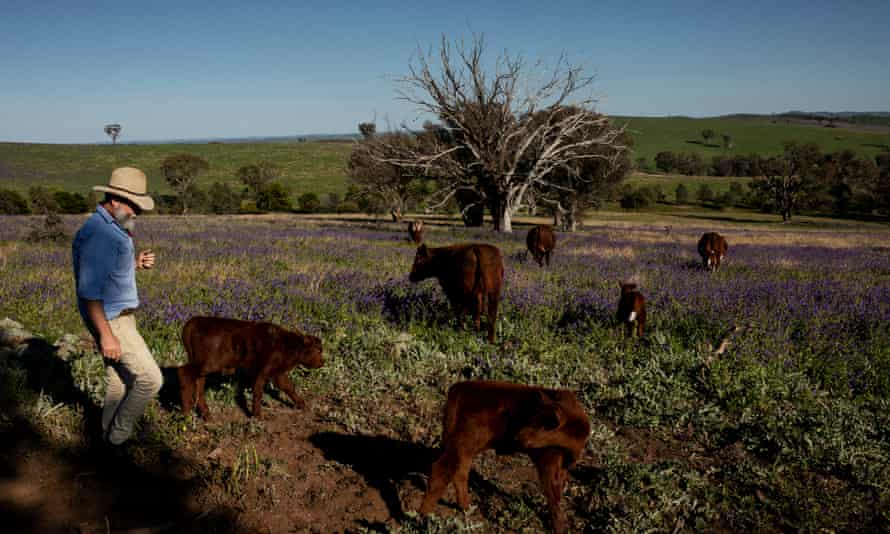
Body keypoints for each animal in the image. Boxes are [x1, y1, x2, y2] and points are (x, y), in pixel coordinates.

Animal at [178, 316, 323, 420]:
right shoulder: (262, 370)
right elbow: (258, 392)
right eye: (318, 350)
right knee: (184, 373)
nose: (322, 362)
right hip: (208, 363)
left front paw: (303, 405)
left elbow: (288, 387)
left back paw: (206, 415)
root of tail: (193, 322)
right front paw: (257, 416)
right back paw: (186, 414)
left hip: (202, 366)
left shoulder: (277, 373)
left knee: (198, 385)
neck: (286, 344)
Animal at [419, 380, 591, 534]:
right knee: (441, 469)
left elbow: (559, 489)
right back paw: (423, 516)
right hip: (463, 442)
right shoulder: (547, 460)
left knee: (460, 472)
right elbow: (552, 492)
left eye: (542, 424)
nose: (517, 437)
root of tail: (458, 388)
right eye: (531, 418)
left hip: (466, 448)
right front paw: (559, 527)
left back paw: (466, 508)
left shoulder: (562, 467)